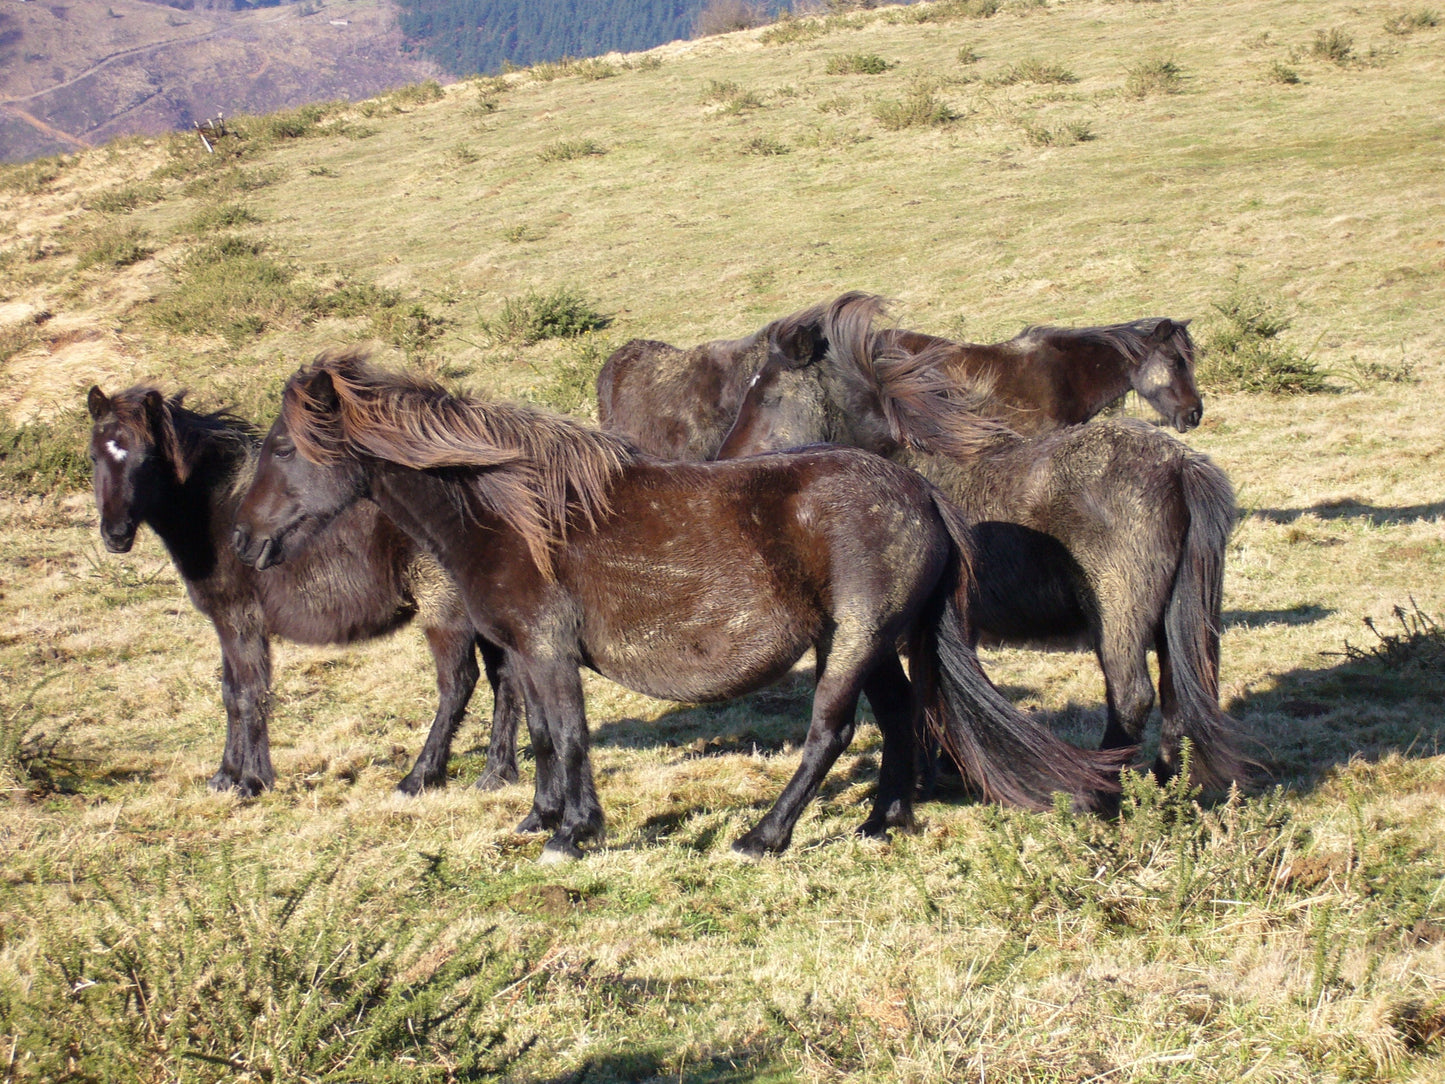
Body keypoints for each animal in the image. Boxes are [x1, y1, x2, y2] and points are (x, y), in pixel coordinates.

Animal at [85, 384, 524, 797]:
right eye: (93, 457)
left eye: (148, 459)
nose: (115, 535)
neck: (220, 513)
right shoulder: (226, 624)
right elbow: (230, 693)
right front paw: (225, 776)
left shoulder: (240, 621)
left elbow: (249, 694)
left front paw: (252, 781)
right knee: (504, 678)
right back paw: (495, 774)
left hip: (445, 610)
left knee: (458, 683)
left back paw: (419, 778)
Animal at [232, 349, 1128, 861]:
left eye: (279, 447)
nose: (241, 541)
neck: (509, 514)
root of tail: (919, 491)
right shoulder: (522, 654)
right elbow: (545, 739)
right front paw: (537, 819)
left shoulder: (547, 651)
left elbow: (567, 736)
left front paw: (573, 835)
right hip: (868, 640)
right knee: (901, 716)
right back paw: (881, 822)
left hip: (856, 640)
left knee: (829, 731)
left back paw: (764, 837)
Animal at [714, 294, 1247, 789]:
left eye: (766, 396)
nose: (723, 462)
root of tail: (1179, 465)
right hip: (1170, 618)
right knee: (1177, 693)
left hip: (1121, 618)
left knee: (1132, 696)